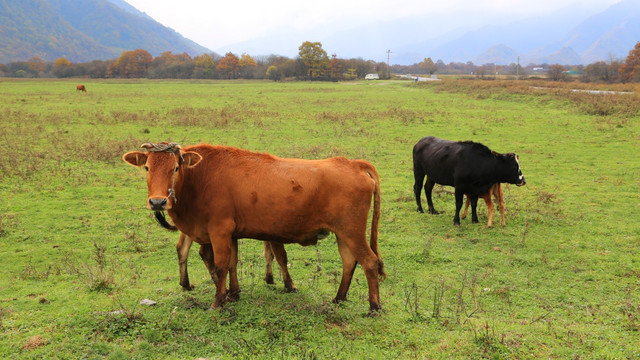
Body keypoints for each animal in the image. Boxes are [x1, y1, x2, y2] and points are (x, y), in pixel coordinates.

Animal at [124, 143, 384, 312]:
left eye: (175, 168)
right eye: (147, 168)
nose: (158, 202)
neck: (200, 177)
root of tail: (354, 164)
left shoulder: (219, 232)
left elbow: (220, 266)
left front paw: (218, 302)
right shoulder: (230, 234)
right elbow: (232, 264)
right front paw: (233, 294)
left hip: (352, 232)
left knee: (369, 262)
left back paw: (373, 306)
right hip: (344, 234)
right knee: (350, 262)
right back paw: (339, 298)